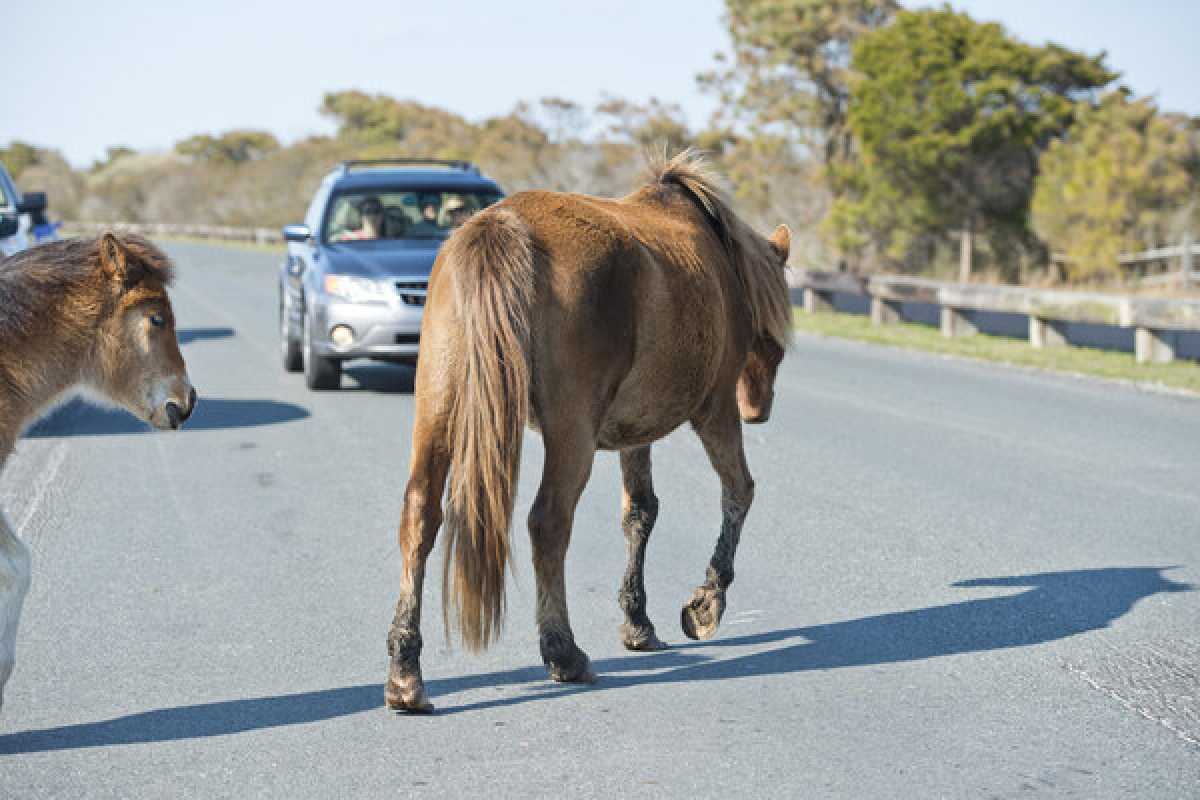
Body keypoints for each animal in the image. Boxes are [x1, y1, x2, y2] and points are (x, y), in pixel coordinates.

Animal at [386, 151, 796, 714]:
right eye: (774, 336)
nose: (759, 408)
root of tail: (502, 226)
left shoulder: (634, 434)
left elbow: (641, 513)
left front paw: (638, 622)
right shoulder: (713, 411)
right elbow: (738, 492)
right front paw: (705, 605)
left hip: (438, 410)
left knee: (420, 516)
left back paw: (405, 674)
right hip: (570, 432)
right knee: (548, 523)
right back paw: (563, 653)